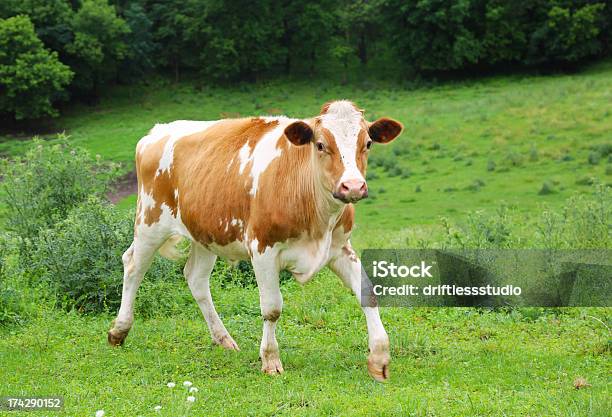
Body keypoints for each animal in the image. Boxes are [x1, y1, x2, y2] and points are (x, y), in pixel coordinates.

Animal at [107, 100, 404, 380]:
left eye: (367, 143)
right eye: (320, 144)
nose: (352, 186)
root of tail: (158, 131)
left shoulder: (340, 247)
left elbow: (368, 293)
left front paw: (379, 358)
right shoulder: (263, 249)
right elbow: (272, 308)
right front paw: (270, 360)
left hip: (206, 232)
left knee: (195, 278)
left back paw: (223, 339)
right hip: (150, 221)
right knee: (133, 266)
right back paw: (119, 331)